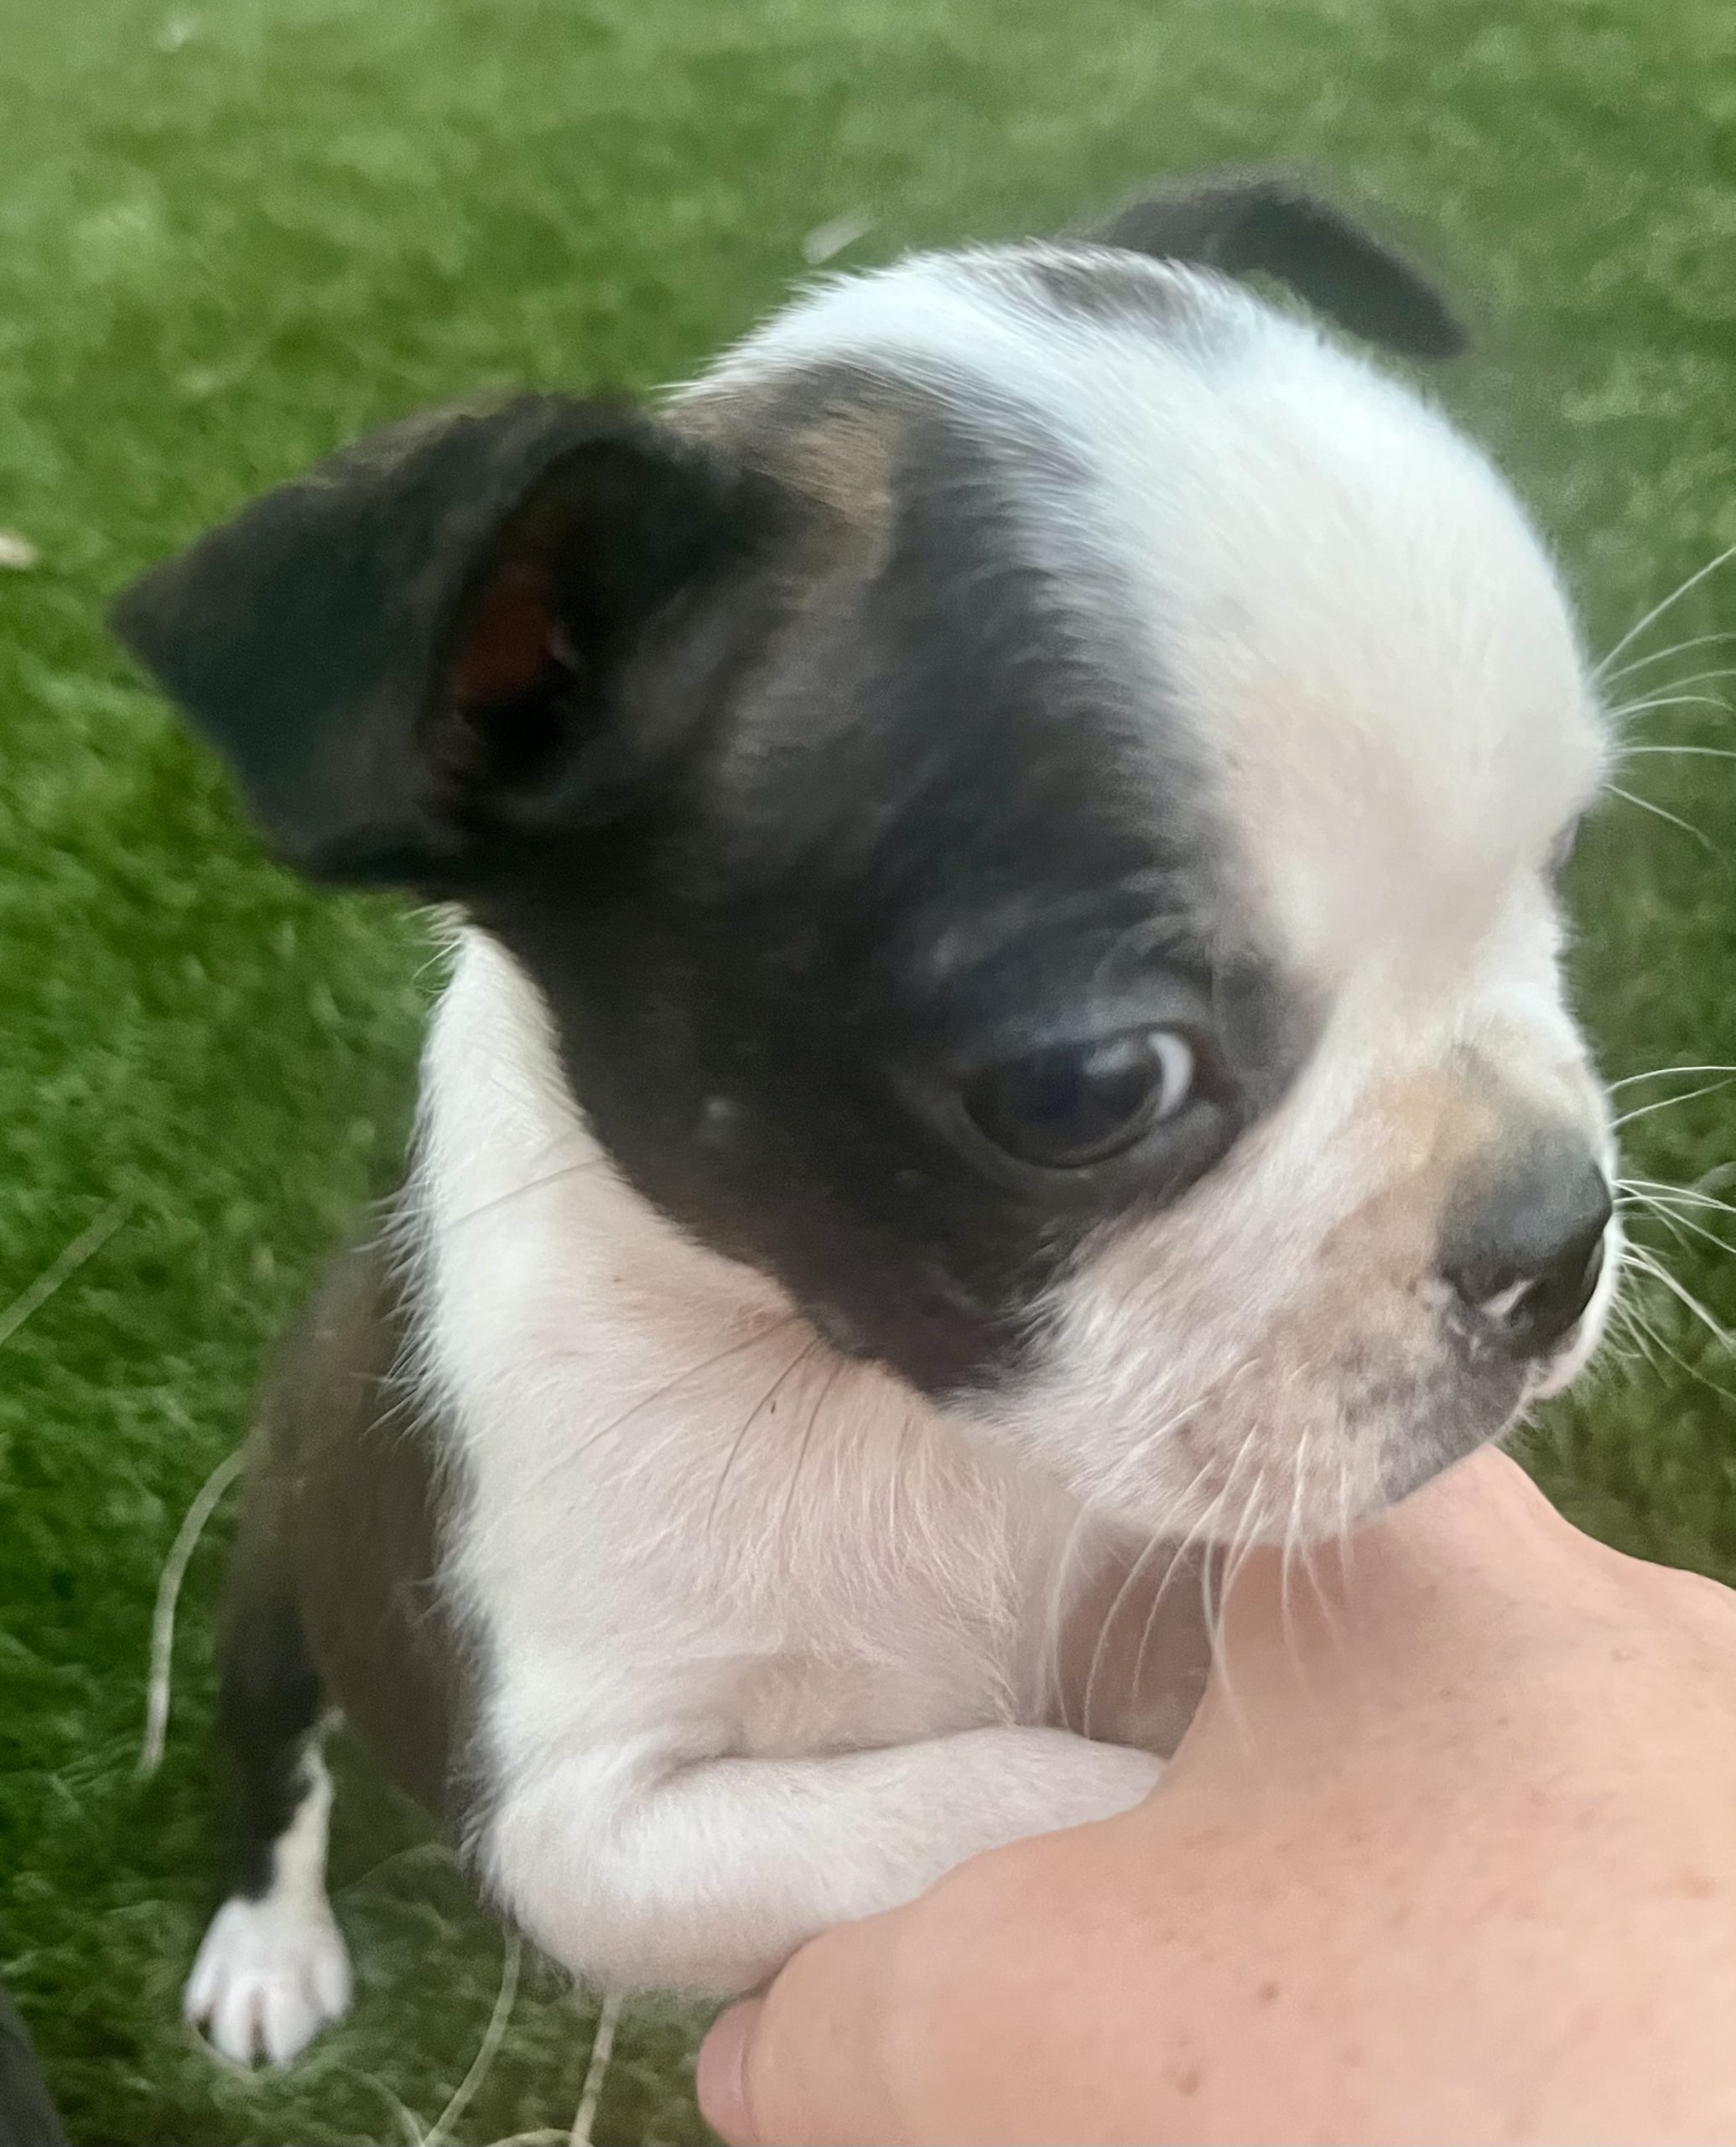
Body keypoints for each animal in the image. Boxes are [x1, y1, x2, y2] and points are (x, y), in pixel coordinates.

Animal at [113, 170, 1619, 2067]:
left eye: (1561, 865)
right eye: (1093, 1088)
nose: (1561, 1232)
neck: (872, 1410)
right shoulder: (594, 1819)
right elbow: (1023, 1795)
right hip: (278, 1576)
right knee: (273, 1756)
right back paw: (266, 1940)